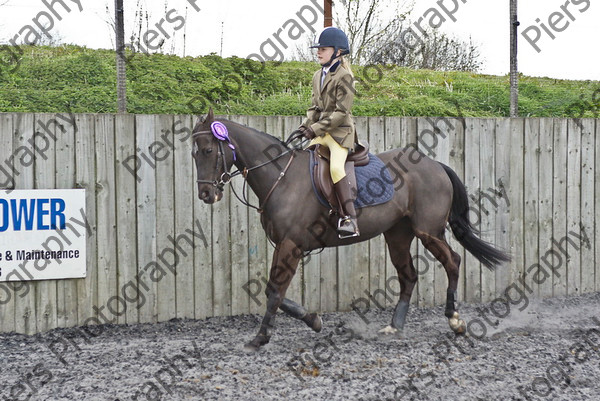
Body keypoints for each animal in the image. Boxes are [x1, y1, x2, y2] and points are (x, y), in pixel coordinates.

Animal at [192, 109, 510, 350]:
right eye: (195, 154)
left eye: (208, 150)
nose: (206, 194)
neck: (280, 176)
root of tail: (434, 164)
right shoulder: (284, 245)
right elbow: (276, 292)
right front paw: (313, 320)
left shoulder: (290, 245)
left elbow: (273, 292)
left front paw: (260, 338)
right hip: (398, 235)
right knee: (408, 276)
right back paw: (394, 327)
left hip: (428, 231)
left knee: (452, 262)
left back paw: (455, 320)